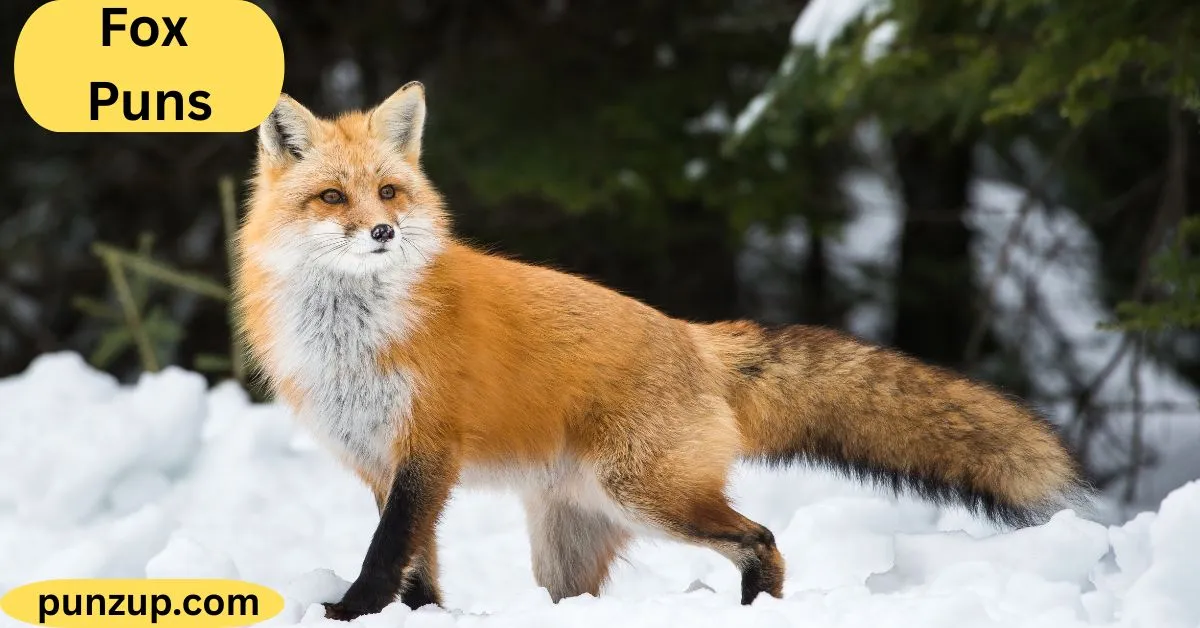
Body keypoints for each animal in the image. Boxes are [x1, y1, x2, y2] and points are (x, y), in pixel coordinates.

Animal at [234, 82, 1094, 620]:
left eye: (388, 192)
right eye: (332, 197)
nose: (382, 231)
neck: (354, 336)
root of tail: (694, 336)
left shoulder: (427, 452)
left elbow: (388, 555)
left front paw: (349, 611)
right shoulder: (380, 462)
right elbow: (417, 569)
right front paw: (414, 616)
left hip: (648, 495)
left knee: (762, 540)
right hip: (571, 540)